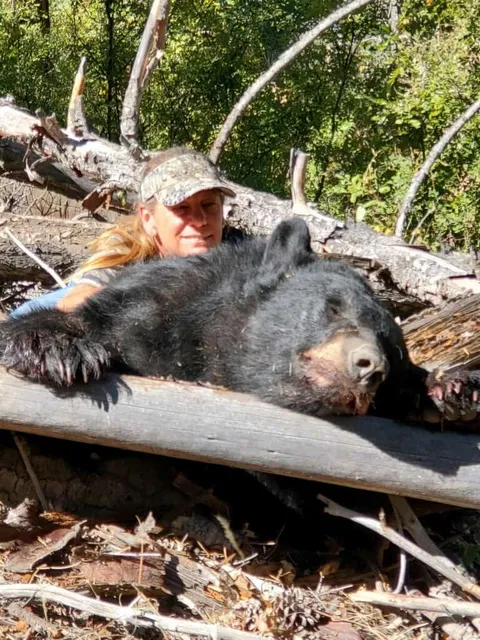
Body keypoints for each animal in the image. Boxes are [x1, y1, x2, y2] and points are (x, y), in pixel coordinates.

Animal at [0, 218, 477, 425]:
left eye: (393, 349)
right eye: (333, 306)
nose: (369, 366)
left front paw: (452, 388)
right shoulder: (147, 312)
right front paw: (58, 348)